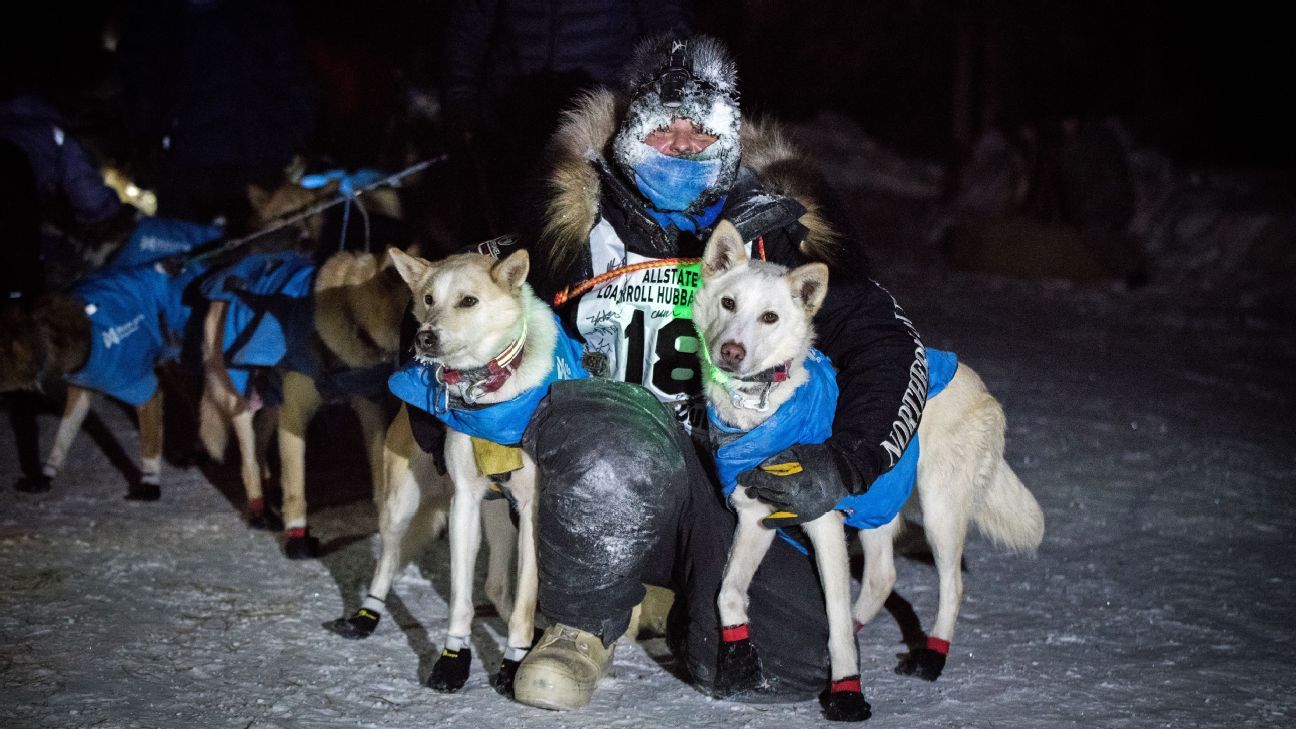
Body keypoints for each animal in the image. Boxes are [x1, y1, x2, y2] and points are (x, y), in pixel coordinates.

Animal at [326, 245, 585, 700]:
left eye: (468, 301)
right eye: (429, 298)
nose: (425, 337)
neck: (490, 396)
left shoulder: (531, 509)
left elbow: (524, 602)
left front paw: (513, 661)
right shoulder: (463, 502)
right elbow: (461, 598)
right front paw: (453, 661)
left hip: (500, 517)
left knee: (497, 585)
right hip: (402, 505)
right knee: (387, 561)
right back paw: (365, 616)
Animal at [694, 217, 1047, 716]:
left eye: (770, 317)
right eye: (729, 303)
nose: (731, 352)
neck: (763, 407)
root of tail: (977, 385)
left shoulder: (821, 520)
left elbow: (836, 623)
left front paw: (846, 689)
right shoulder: (755, 517)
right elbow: (727, 594)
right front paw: (739, 658)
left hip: (939, 513)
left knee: (951, 587)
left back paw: (932, 656)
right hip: (875, 502)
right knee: (883, 577)